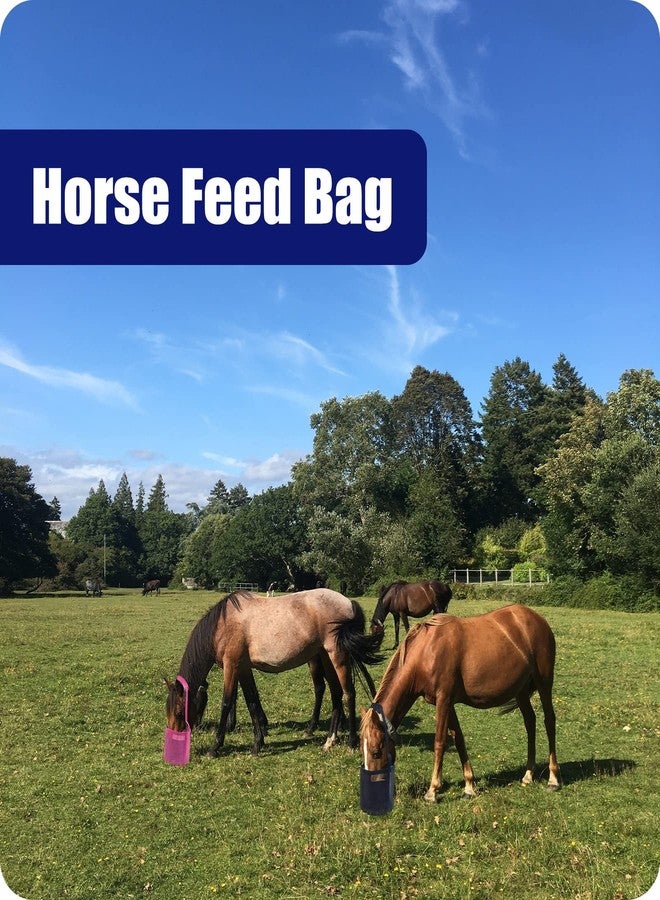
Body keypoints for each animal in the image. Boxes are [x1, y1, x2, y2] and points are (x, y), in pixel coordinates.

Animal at [165, 588, 382, 757]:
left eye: (179, 711)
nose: (176, 736)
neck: (222, 625)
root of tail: (349, 602)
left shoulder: (232, 665)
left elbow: (227, 702)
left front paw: (215, 747)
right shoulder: (243, 668)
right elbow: (252, 701)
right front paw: (257, 743)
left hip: (337, 655)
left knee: (348, 694)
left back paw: (351, 742)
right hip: (325, 657)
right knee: (335, 693)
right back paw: (330, 740)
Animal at [361, 605, 561, 802]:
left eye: (376, 752)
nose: (373, 790)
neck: (426, 653)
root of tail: (538, 619)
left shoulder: (444, 700)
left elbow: (439, 742)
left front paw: (432, 790)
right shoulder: (446, 703)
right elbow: (458, 739)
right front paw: (469, 786)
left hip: (544, 683)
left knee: (549, 721)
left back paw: (553, 779)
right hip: (521, 691)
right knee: (530, 722)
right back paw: (528, 774)